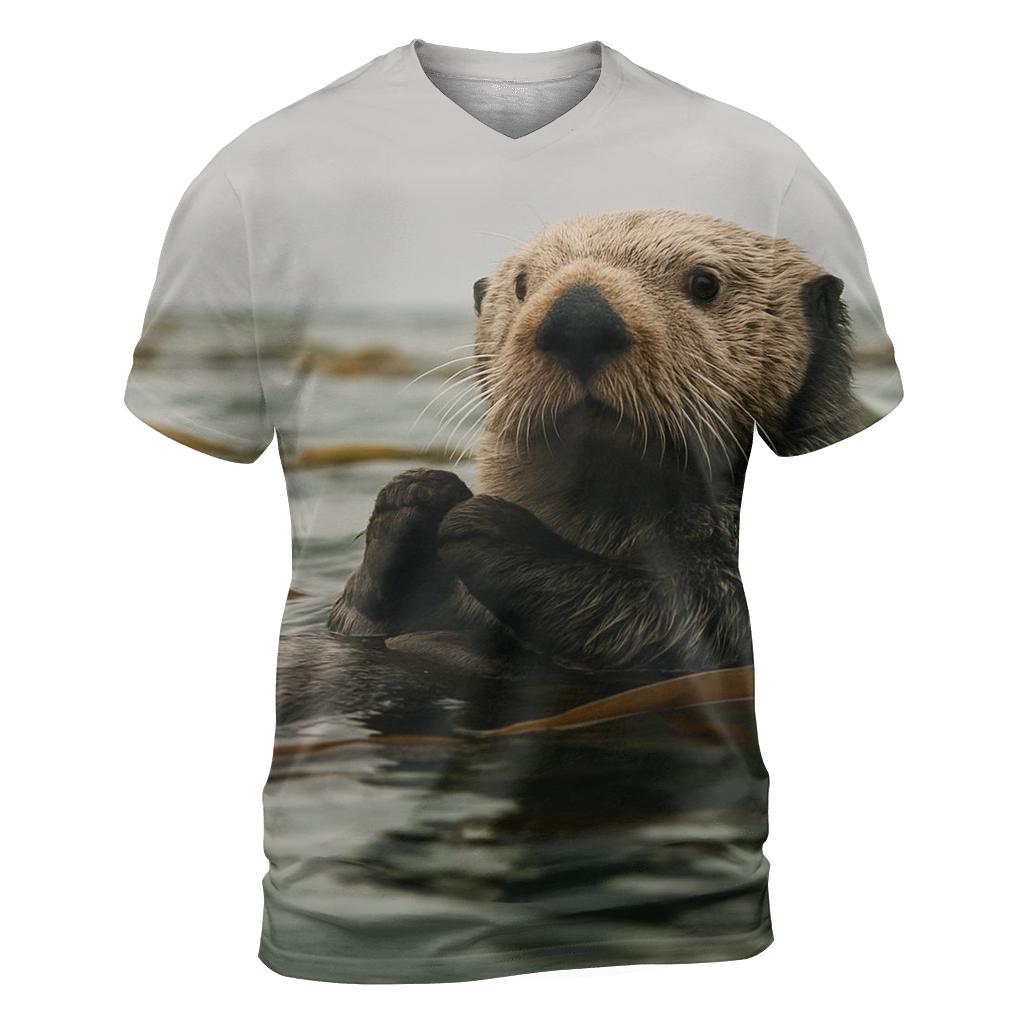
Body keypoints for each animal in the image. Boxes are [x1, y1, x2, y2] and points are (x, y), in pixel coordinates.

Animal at [327, 210, 860, 674]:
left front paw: (488, 528)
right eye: (522, 284)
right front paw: (414, 501)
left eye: (705, 284)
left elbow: (695, 619)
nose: (578, 319)